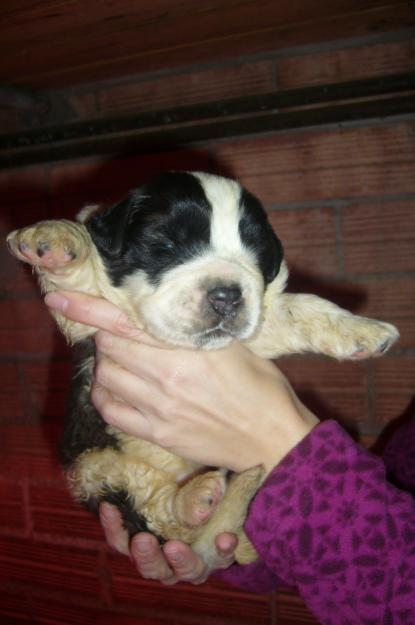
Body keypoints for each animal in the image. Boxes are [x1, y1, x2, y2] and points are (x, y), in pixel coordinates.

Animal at [6, 169, 400, 564]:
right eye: (165, 247)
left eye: (255, 255)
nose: (227, 296)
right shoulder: (89, 315)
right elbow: (82, 274)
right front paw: (54, 238)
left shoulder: (257, 328)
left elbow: (299, 308)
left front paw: (363, 330)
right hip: (96, 470)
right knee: (160, 512)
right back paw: (197, 498)